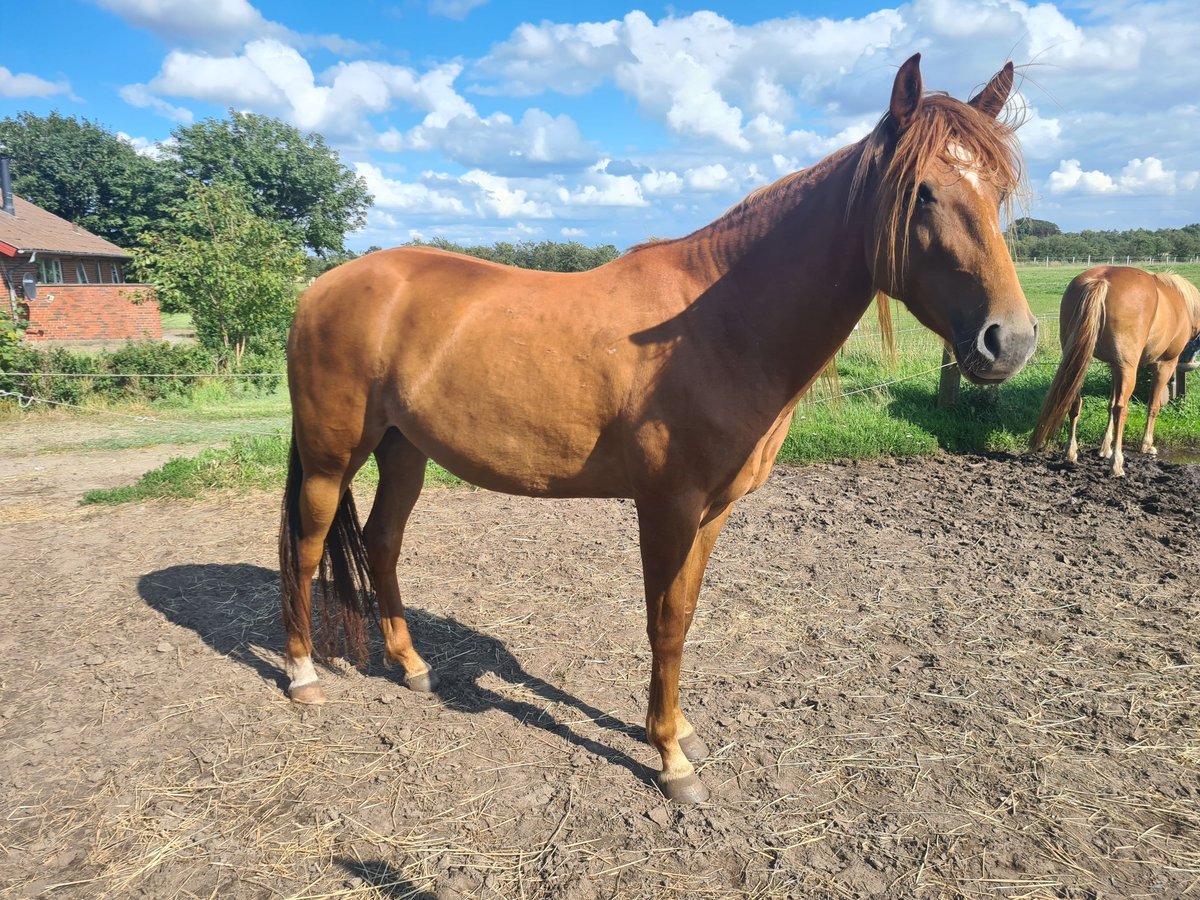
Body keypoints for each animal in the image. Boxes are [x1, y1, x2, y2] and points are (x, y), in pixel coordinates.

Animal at [276, 56, 1036, 801]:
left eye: (999, 190)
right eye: (924, 193)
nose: (1012, 341)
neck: (720, 324)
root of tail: (321, 288)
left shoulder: (713, 510)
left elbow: (687, 611)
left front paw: (678, 731)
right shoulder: (666, 506)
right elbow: (664, 622)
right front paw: (670, 758)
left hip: (404, 450)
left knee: (381, 542)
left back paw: (411, 666)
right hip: (332, 456)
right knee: (307, 548)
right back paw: (303, 675)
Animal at [1032, 267, 1200, 480]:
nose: (1188, 363)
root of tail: (1102, 280)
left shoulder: (1114, 366)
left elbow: (1110, 405)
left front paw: (1105, 448)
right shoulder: (1164, 365)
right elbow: (1152, 406)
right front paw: (1147, 445)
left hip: (1078, 360)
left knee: (1076, 401)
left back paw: (1071, 452)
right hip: (1128, 368)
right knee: (1122, 409)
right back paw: (1117, 464)